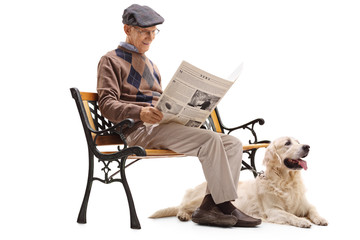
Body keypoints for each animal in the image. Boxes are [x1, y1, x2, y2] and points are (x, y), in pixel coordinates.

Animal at [150, 136, 328, 228]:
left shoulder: (305, 205)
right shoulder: (272, 210)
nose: (307, 146)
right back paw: (183, 215)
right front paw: (301, 221)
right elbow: (288, 214)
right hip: (199, 198)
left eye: (298, 142)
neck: (285, 181)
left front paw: (320, 219)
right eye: (287, 143)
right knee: (183, 206)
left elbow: (313, 210)